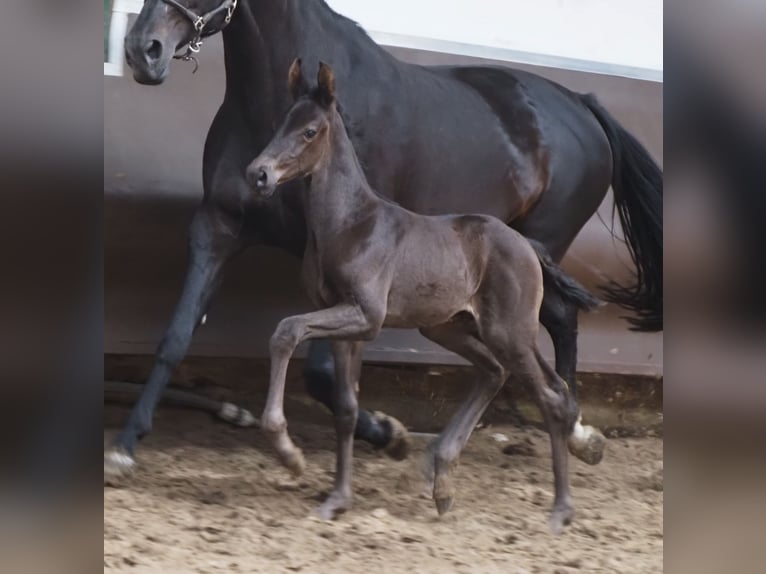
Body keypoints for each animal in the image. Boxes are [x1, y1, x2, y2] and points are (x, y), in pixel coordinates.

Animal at [105, 0, 664, 476]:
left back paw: (575, 432)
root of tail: (583, 103)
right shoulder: (218, 229)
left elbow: (322, 370)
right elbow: (175, 338)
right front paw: (127, 445)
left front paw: (386, 433)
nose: (142, 48)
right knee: (557, 320)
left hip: (542, 243)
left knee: (561, 318)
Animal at [249, 60, 604, 532]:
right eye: (280, 124)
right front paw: (337, 499)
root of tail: (529, 246)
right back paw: (442, 481)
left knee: (550, 396)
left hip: (509, 331)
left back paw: (560, 509)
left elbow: (286, 331)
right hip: (447, 328)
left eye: (310, 131)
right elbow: (345, 408)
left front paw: (289, 453)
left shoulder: (365, 315)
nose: (258, 174)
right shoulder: (346, 323)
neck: (351, 223)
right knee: (498, 373)